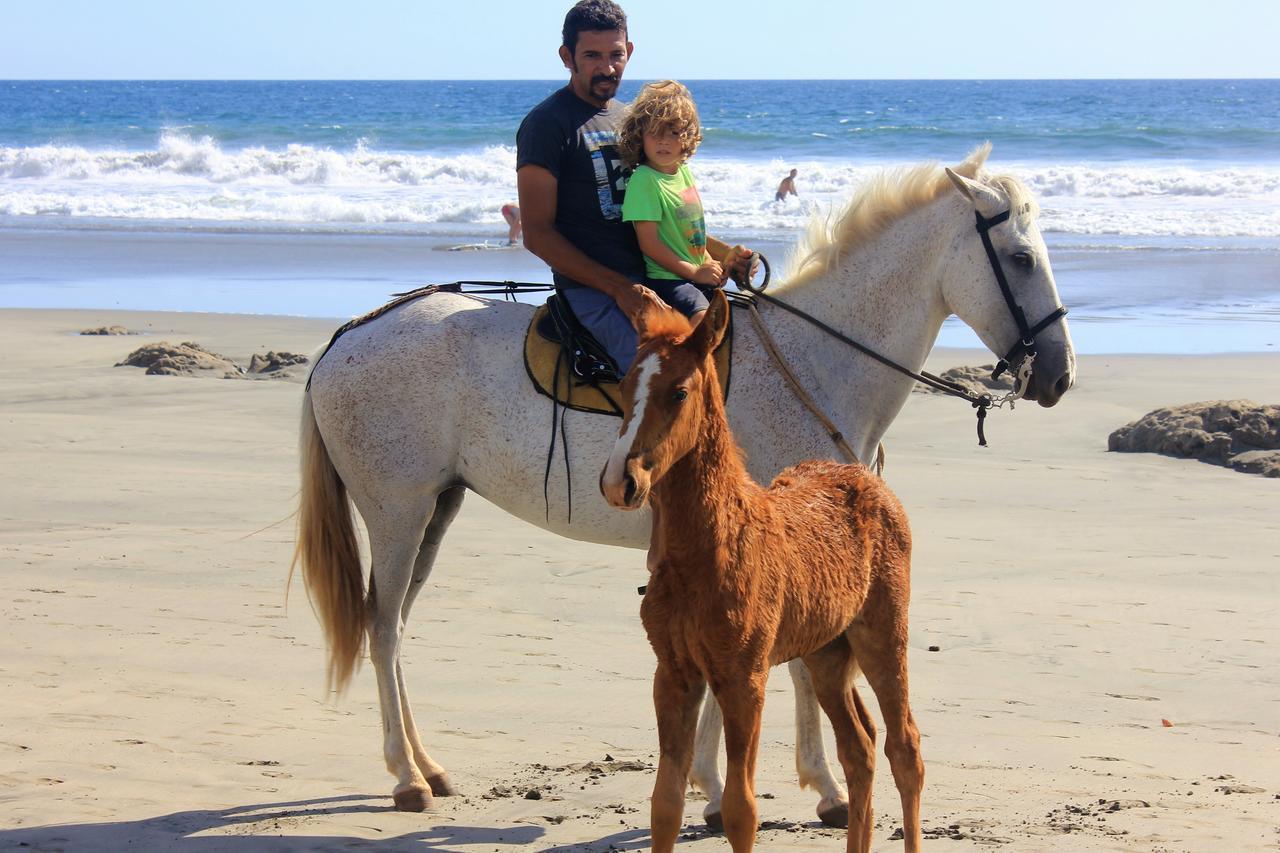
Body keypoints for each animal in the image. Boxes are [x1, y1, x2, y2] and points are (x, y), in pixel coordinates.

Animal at [599, 289, 921, 845]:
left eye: (678, 392)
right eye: (622, 385)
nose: (621, 481)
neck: (707, 551)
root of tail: (866, 475)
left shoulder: (744, 676)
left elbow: (740, 809)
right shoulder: (673, 673)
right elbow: (665, 804)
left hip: (881, 634)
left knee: (904, 748)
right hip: (827, 652)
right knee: (859, 748)